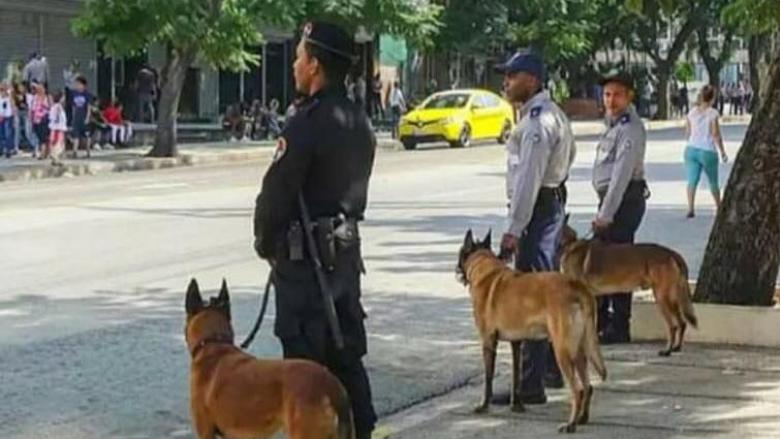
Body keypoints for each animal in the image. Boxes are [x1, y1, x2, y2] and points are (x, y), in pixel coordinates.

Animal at [458, 229, 608, 434]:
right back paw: (582, 419)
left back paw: (570, 424)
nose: (456, 270)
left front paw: (484, 405)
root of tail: (576, 285)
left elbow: (488, 378)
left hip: (563, 351)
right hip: (579, 350)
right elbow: (516, 377)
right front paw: (516, 405)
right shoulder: (516, 344)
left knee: (578, 390)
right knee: (588, 386)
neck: (484, 267)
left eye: (460, 253)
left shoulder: (488, 343)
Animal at [560, 223, 700, 358]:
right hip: (672, 298)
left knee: (673, 326)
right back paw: (677, 347)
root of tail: (672, 253)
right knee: (682, 322)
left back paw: (667, 350)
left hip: (661, 298)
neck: (569, 245)